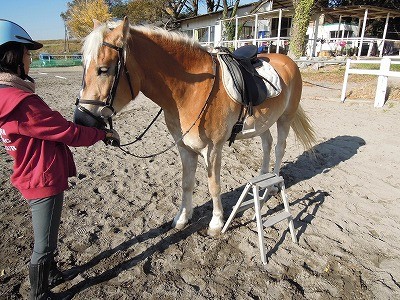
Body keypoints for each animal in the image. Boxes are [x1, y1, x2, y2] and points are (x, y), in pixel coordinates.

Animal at [72, 17, 316, 237]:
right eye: (83, 67)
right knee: (267, 145)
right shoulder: (185, 147)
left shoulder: (213, 149)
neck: (191, 91)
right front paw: (182, 218)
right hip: (263, 123)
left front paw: (216, 223)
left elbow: (213, 185)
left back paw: (272, 184)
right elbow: (186, 183)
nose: (81, 120)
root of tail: (287, 61)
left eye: (104, 69)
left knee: (279, 148)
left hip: (285, 118)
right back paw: (263, 179)